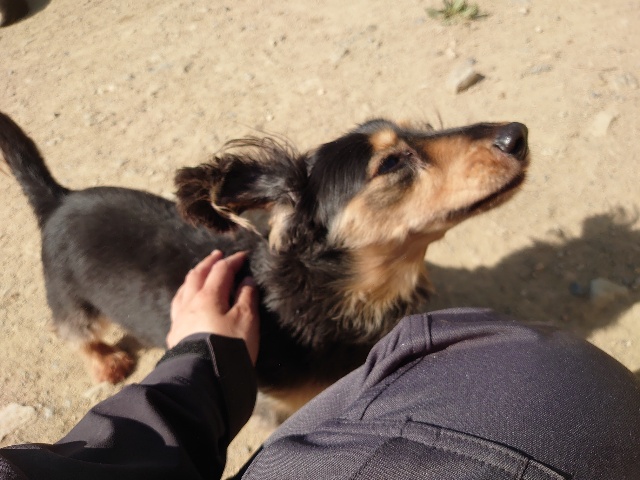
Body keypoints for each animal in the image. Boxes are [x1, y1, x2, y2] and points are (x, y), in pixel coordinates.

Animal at [0, 111, 529, 411]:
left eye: (426, 130)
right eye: (393, 163)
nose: (517, 134)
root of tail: (60, 198)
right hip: (69, 296)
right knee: (74, 331)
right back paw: (105, 362)